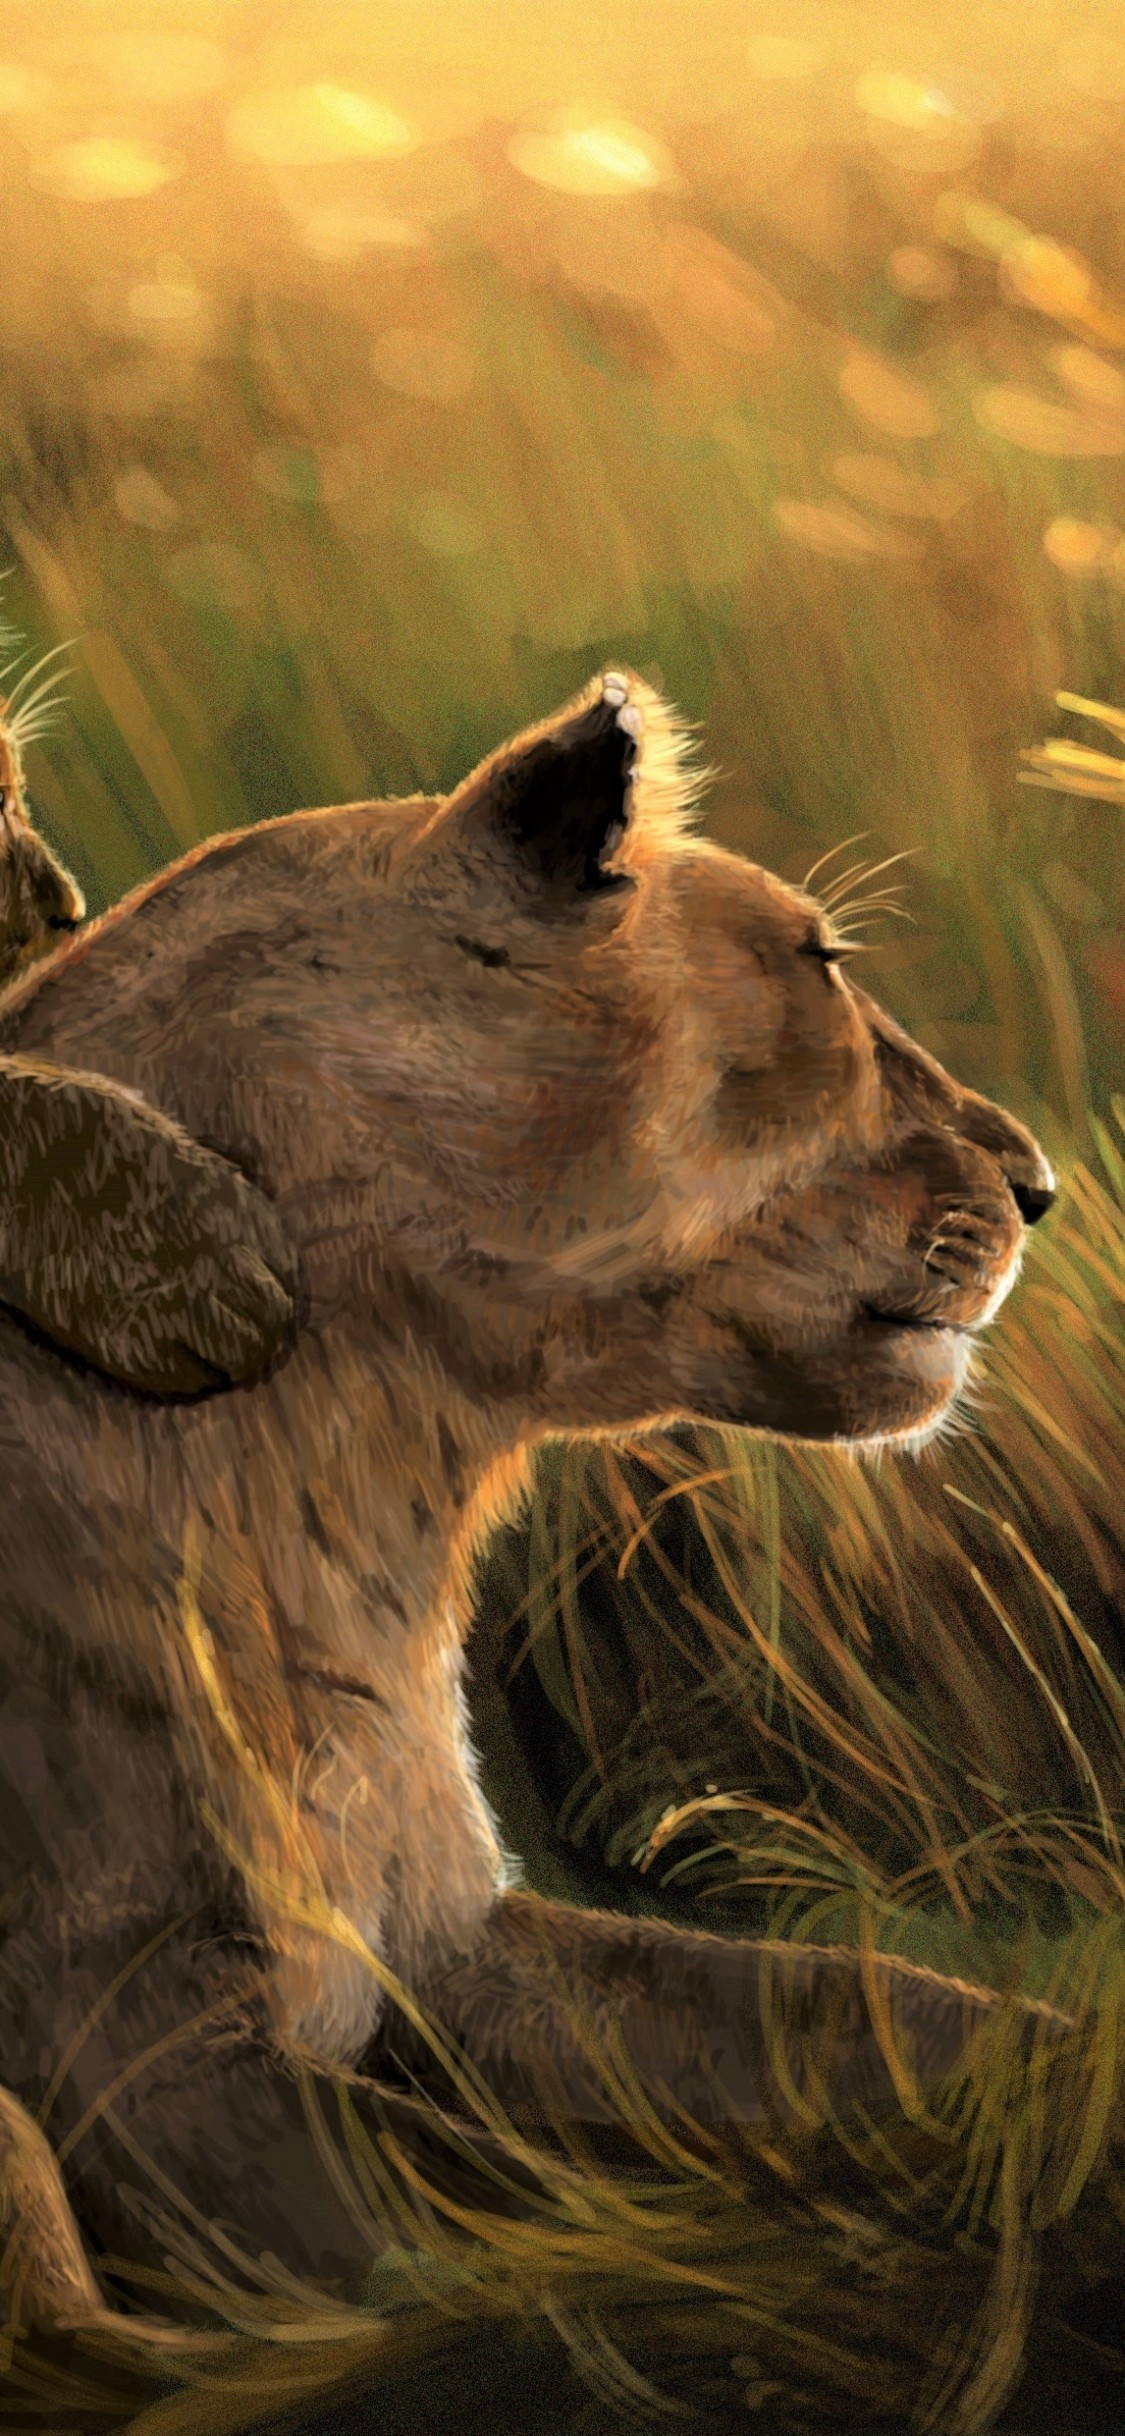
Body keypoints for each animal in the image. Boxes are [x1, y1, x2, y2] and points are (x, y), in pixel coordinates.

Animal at [0, 669, 1059, 2327]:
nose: (1043, 1187)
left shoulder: (449, 1947)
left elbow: (842, 2006)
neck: (359, 1474)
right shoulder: (136, 2040)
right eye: (821, 967)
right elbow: (497, 2238)